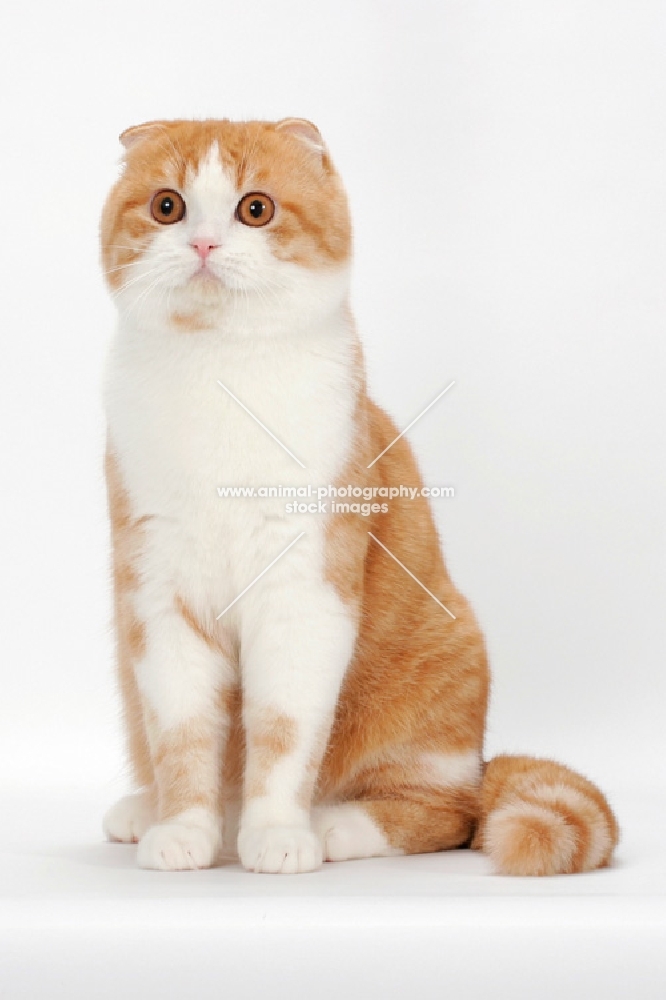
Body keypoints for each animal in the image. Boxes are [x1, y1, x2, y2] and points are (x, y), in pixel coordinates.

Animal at [100, 119, 616, 876]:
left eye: (256, 209)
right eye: (168, 207)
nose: (203, 244)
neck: (219, 371)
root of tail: (482, 764)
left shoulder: (304, 591)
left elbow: (283, 731)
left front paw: (278, 833)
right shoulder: (160, 594)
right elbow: (184, 735)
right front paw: (186, 829)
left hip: (442, 672)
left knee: (450, 814)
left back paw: (337, 825)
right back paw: (153, 810)